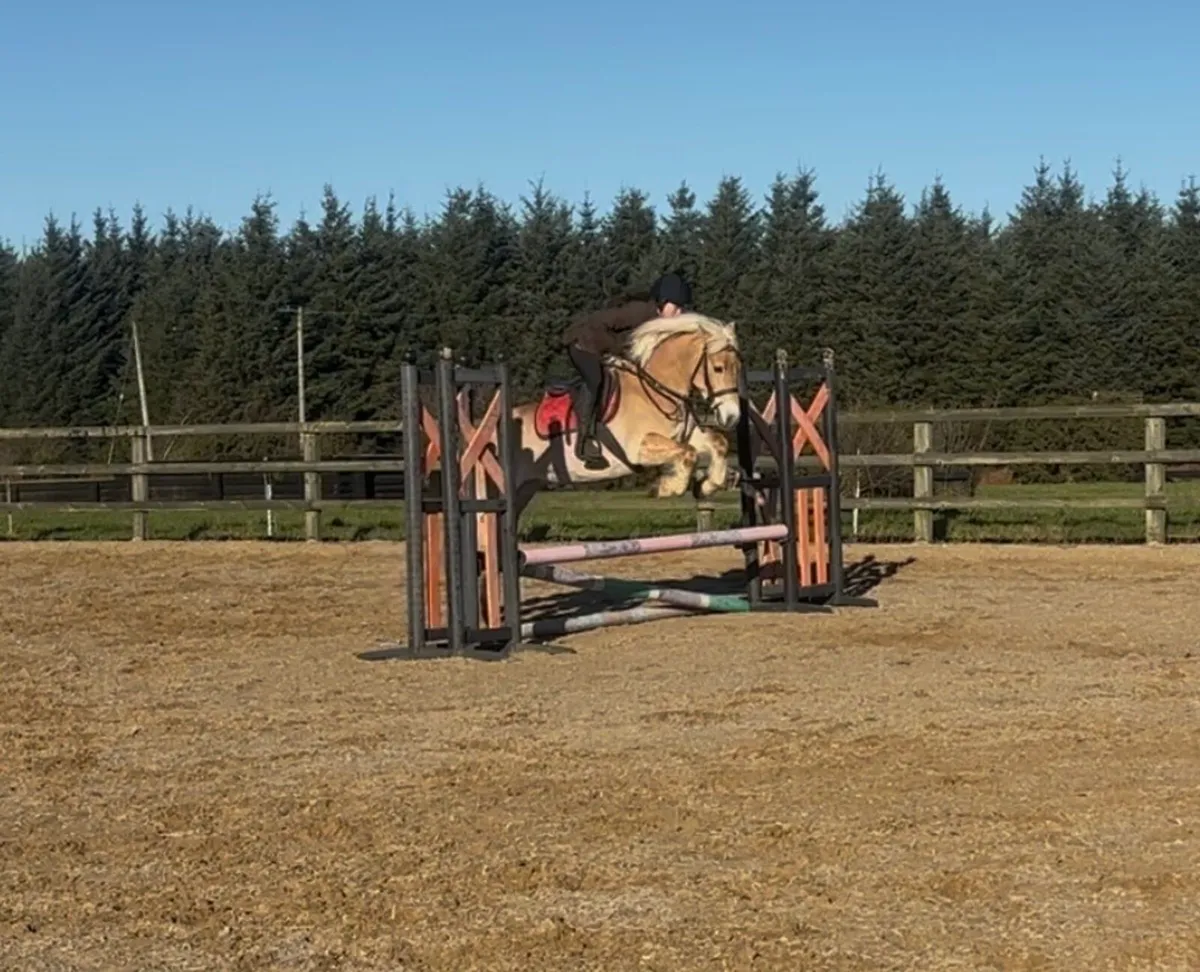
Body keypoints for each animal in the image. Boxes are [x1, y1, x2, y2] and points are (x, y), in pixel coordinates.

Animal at [509, 312, 743, 519]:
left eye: (738, 367)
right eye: (718, 368)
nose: (733, 417)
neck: (657, 391)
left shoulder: (683, 436)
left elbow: (717, 443)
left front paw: (706, 486)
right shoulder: (638, 448)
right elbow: (689, 453)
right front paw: (663, 487)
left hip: (526, 488)